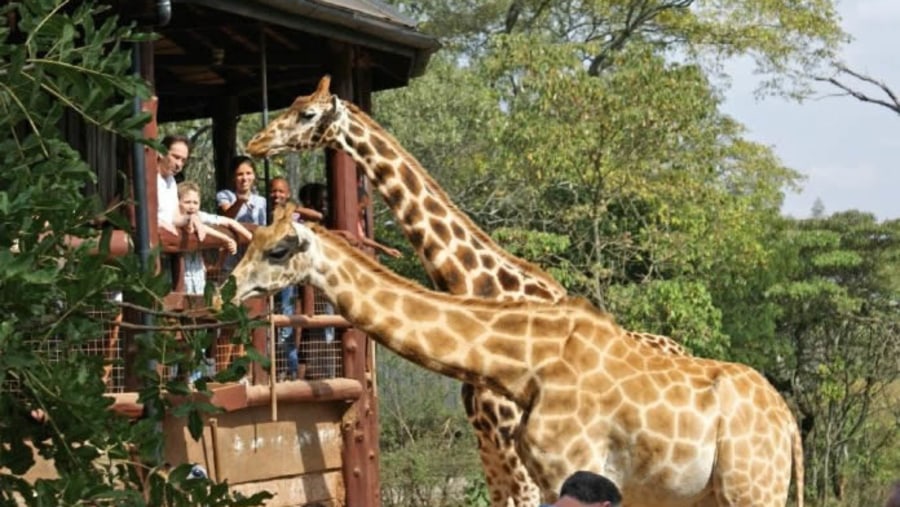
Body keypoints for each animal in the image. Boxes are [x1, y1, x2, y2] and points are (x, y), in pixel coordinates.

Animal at [229, 212, 804, 506]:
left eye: (278, 250)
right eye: (250, 242)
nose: (231, 287)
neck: (525, 362)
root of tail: (790, 425)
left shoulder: (574, 466)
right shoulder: (546, 475)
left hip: (752, 488)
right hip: (710, 495)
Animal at [243, 75, 684, 507]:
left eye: (307, 113)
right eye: (291, 102)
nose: (255, 143)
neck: (480, 286)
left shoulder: (516, 449)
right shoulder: (486, 442)